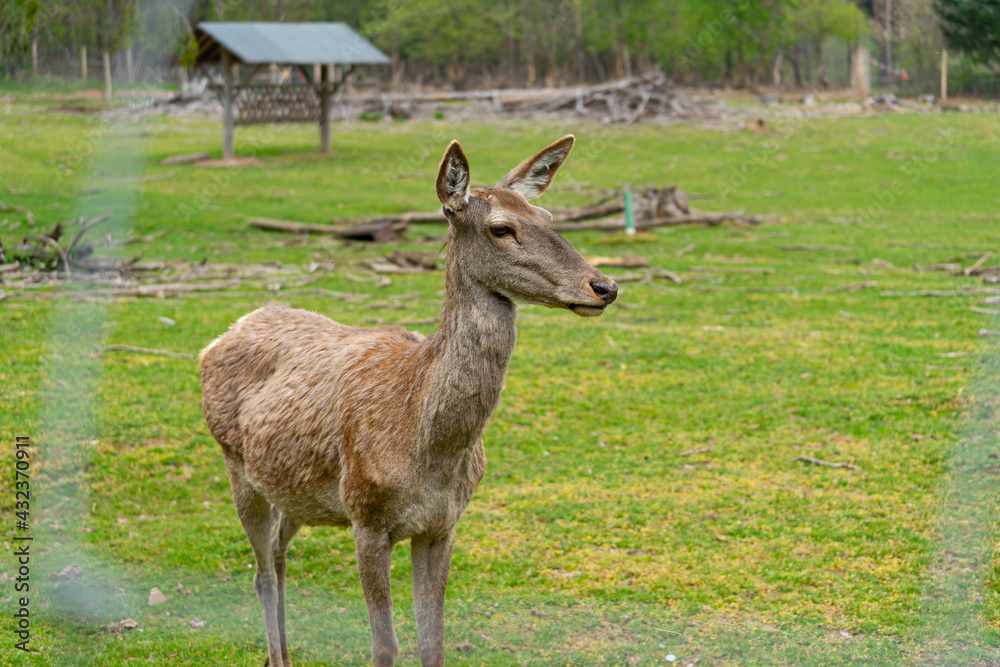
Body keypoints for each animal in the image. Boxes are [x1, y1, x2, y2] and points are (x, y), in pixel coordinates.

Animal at [197, 136, 616, 667]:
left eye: (548, 217)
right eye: (502, 228)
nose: (604, 286)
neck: (429, 446)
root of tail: (218, 338)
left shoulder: (442, 524)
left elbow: (433, 640)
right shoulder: (366, 517)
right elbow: (385, 644)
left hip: (295, 493)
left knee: (276, 553)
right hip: (236, 463)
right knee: (262, 573)